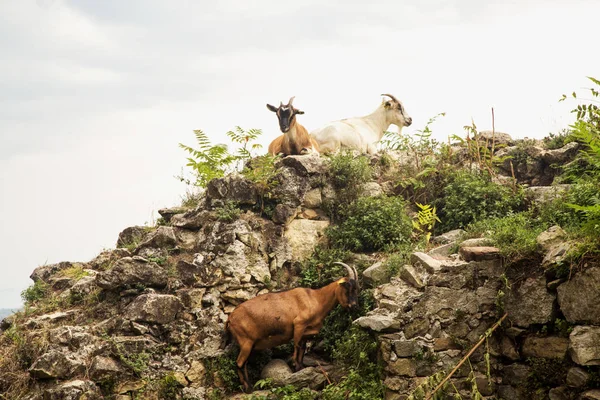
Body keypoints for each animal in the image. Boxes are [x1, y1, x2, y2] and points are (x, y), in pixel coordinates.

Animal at [224, 262, 356, 390]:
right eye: (347, 288)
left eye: (357, 288)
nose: (354, 306)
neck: (316, 299)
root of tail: (230, 319)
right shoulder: (299, 324)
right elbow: (297, 346)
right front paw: (295, 367)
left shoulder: (306, 332)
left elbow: (302, 349)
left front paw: (301, 367)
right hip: (246, 342)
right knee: (239, 363)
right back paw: (248, 388)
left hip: (249, 345)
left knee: (244, 363)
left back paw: (249, 386)